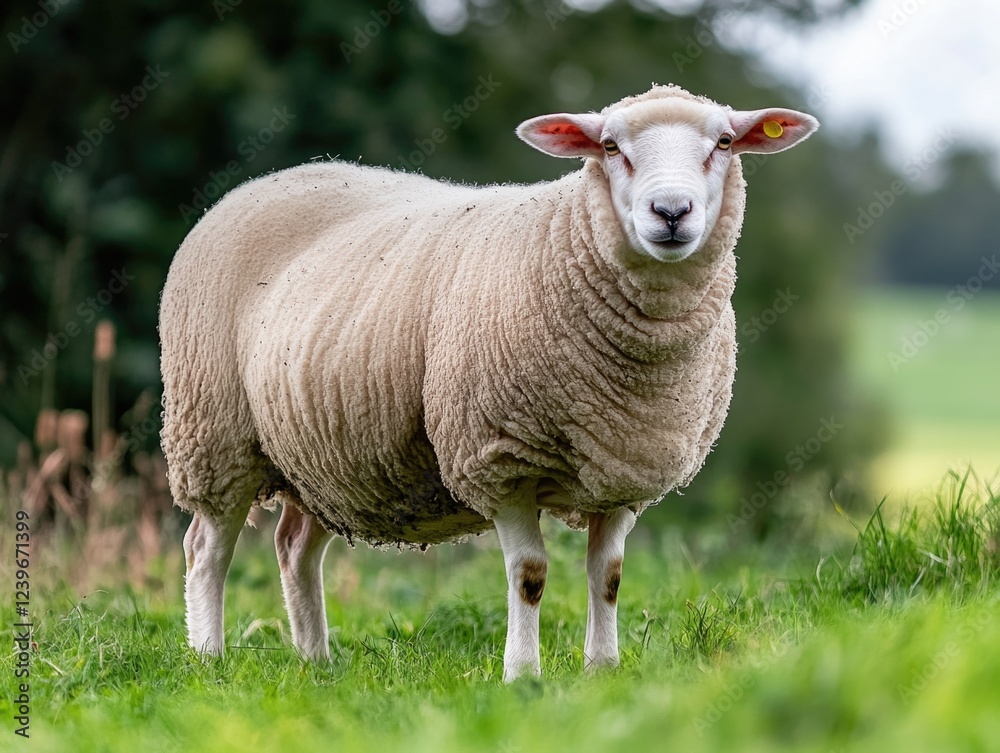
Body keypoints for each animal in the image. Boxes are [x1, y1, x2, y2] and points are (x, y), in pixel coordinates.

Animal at [159, 84, 818, 682]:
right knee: (206, 550)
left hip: (323, 451)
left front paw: (602, 670)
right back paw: (208, 659)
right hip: (213, 433)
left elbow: (607, 576)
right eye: (609, 146)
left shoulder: (624, 468)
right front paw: (522, 675)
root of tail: (262, 182)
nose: (672, 212)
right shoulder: (499, 458)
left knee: (295, 547)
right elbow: (529, 575)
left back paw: (316, 663)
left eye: (725, 142)